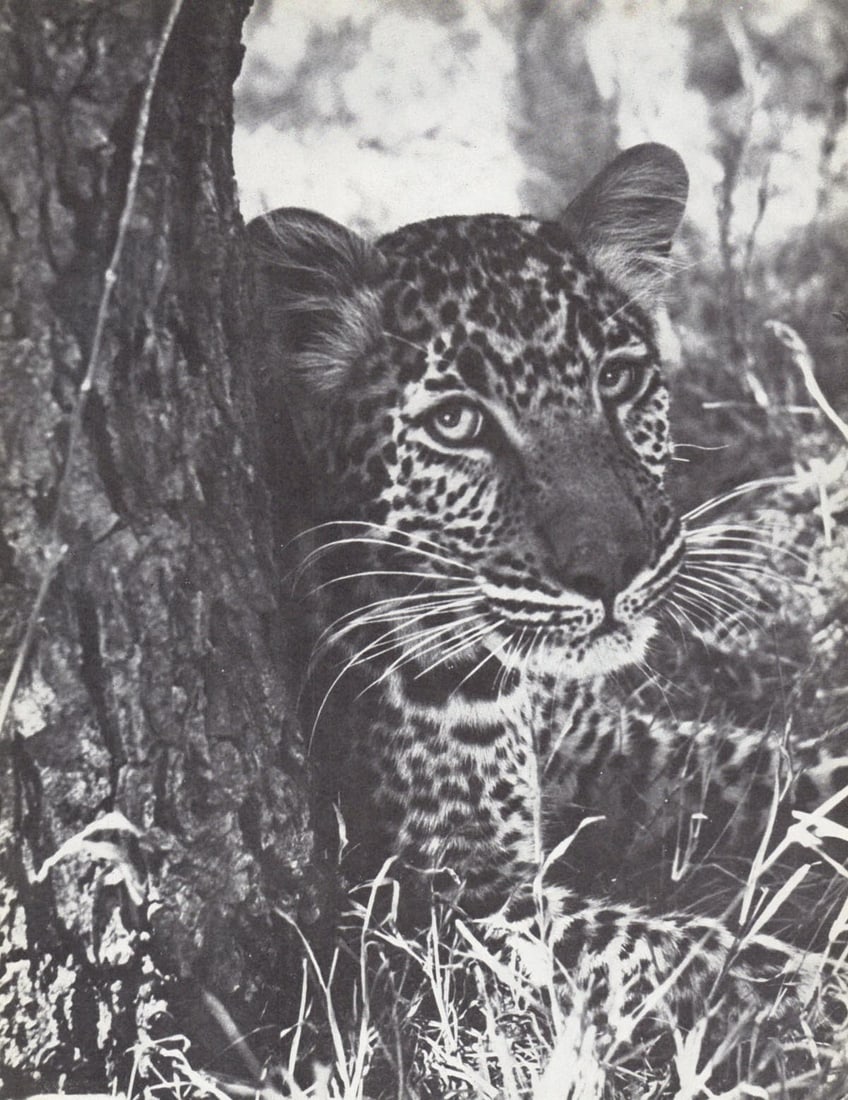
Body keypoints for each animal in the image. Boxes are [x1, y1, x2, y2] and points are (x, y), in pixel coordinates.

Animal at [247, 143, 847, 1082]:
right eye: (457, 422)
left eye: (618, 379)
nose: (613, 568)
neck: (525, 684)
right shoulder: (452, 898)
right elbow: (682, 950)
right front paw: (818, 1003)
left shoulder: (613, 748)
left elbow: (794, 769)